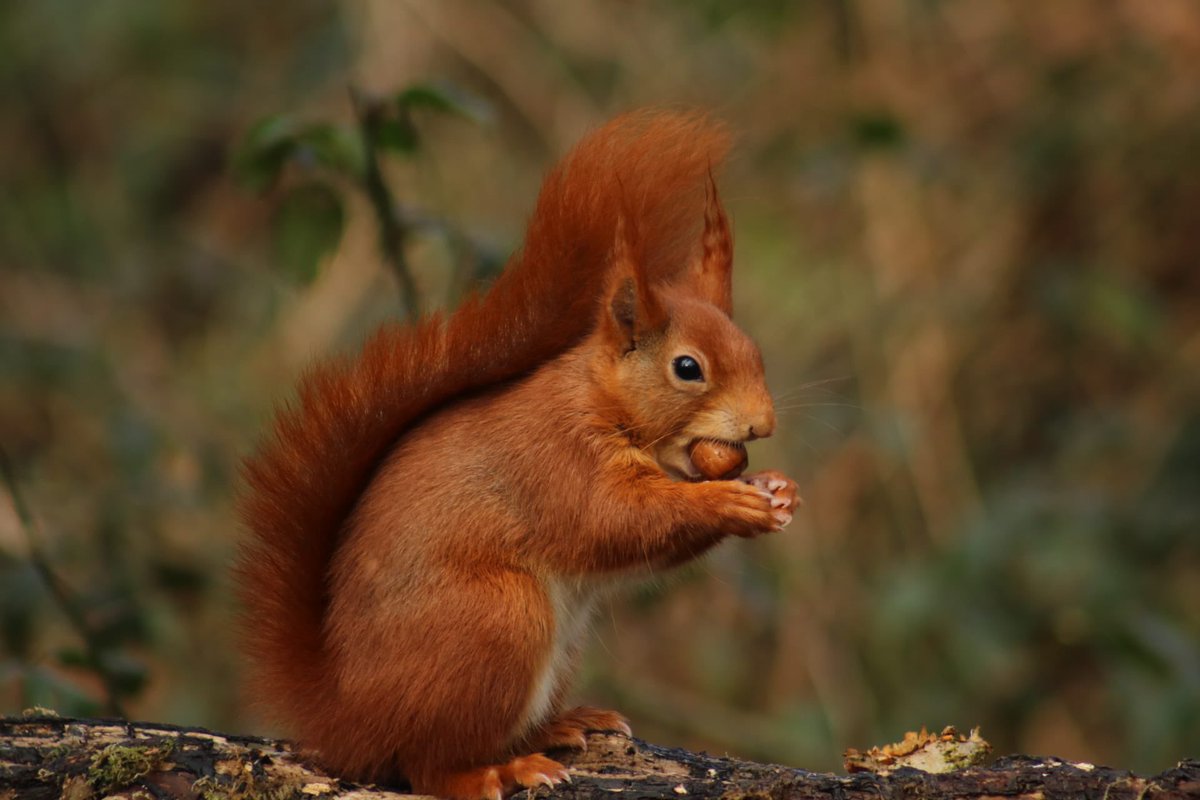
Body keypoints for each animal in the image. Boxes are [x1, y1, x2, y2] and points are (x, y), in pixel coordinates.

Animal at [234, 110, 796, 800]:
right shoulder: (556, 460)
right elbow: (618, 522)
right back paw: (499, 770)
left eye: (754, 351)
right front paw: (730, 503)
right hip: (497, 621)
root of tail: (347, 717)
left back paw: (559, 726)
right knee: (426, 764)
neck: (600, 403)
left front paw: (778, 489)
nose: (763, 424)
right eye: (687, 368)